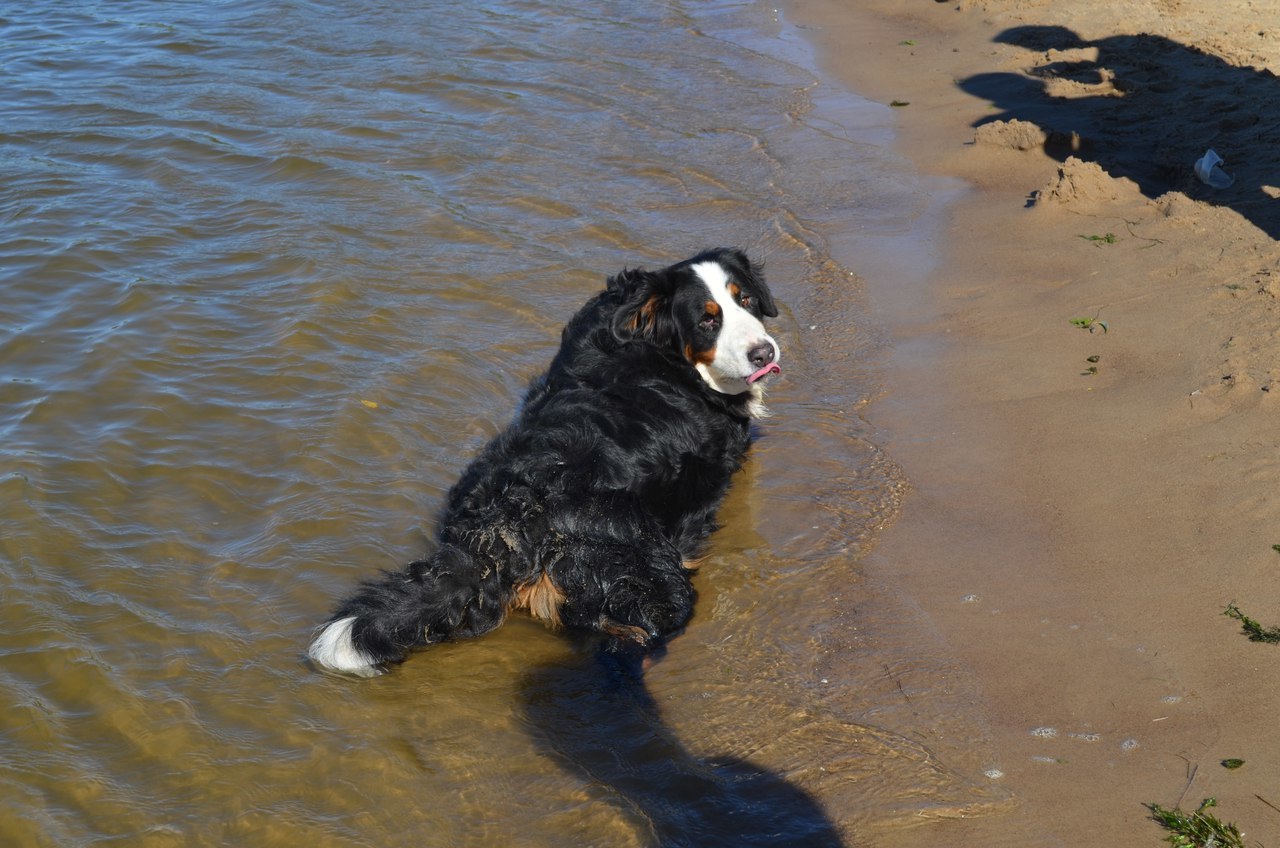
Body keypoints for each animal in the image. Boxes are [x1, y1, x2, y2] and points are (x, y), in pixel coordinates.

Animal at [309, 247, 778, 676]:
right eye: (707, 321)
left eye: (747, 300)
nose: (764, 353)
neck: (660, 354)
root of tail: (511, 519)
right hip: (654, 578)